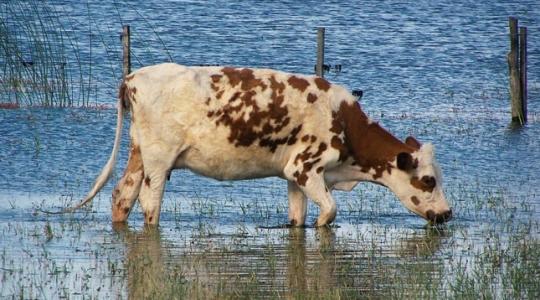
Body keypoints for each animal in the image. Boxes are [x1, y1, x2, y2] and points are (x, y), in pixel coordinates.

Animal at [65, 63, 450, 227]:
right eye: (428, 180)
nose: (447, 214)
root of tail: (134, 76)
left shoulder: (293, 176)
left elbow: (297, 218)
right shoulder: (306, 168)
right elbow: (329, 213)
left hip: (139, 154)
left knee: (122, 195)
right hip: (159, 161)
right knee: (149, 202)